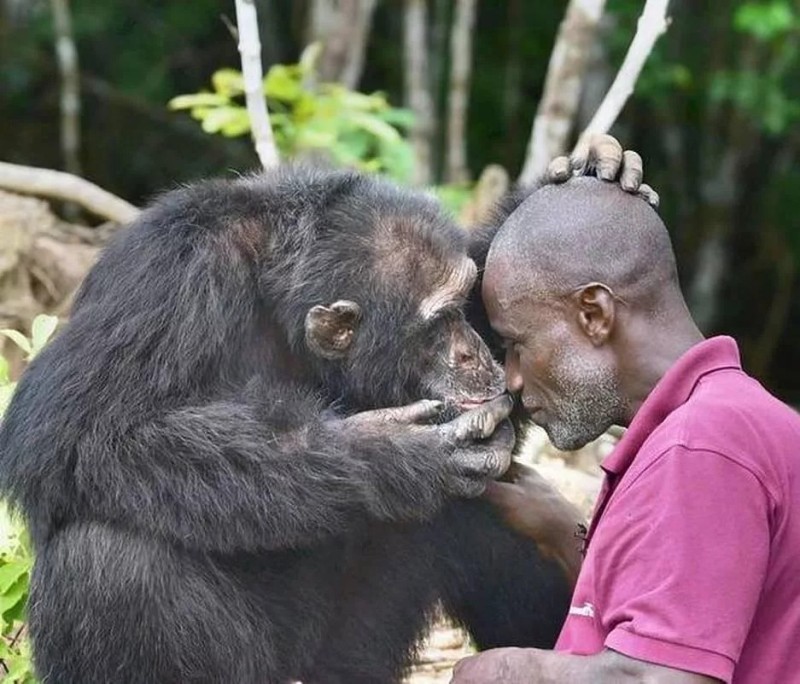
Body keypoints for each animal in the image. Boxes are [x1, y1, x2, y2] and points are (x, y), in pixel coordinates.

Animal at [0, 166, 568, 684]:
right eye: (439, 322)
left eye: (463, 306)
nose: (473, 351)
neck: (278, 301)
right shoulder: (162, 279)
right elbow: (75, 430)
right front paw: (396, 455)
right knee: (106, 562)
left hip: (356, 656)